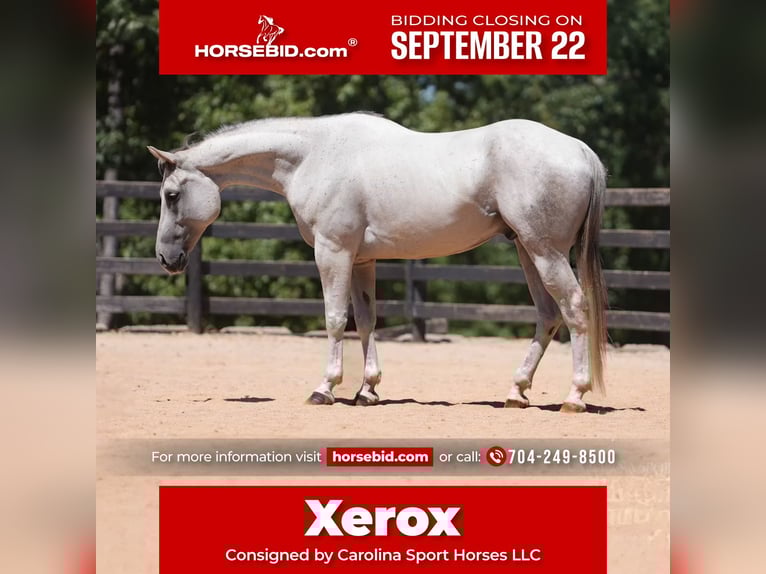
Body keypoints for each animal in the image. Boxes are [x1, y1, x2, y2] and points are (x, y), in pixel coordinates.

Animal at [148, 113, 607, 413]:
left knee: (574, 309)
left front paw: (325, 388)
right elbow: (366, 322)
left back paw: (574, 396)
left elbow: (336, 320)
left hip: (545, 252)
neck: (314, 156)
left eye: (171, 195)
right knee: (548, 316)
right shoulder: (361, 260)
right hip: (527, 251)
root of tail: (581, 151)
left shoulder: (332, 252)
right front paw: (366, 391)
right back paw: (516, 391)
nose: (166, 259)